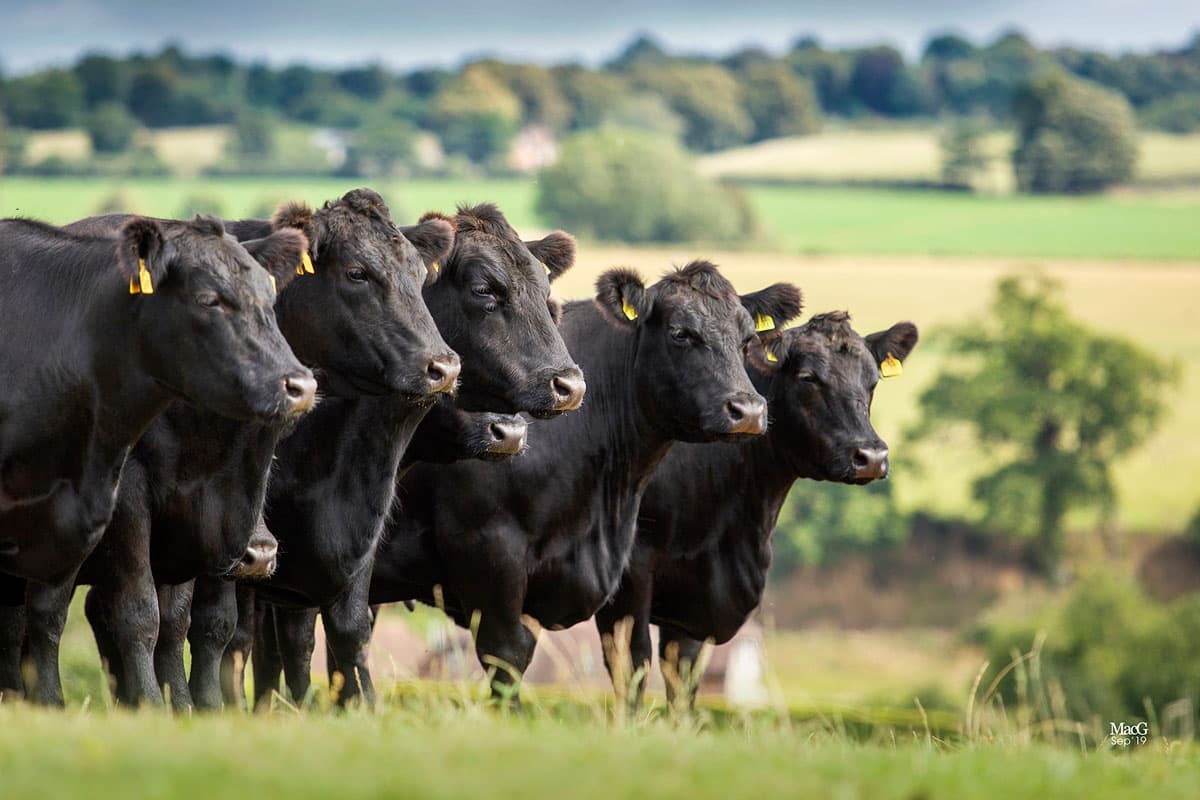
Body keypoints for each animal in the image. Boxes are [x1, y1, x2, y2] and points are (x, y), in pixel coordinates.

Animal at [35, 189, 458, 709]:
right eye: (357, 272)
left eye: (419, 274)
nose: (443, 366)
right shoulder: (133, 494)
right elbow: (139, 613)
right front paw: (158, 706)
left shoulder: (220, 507)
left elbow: (204, 621)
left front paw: (201, 708)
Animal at [597, 311, 918, 710]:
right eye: (808, 378)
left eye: (872, 381)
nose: (871, 456)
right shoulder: (632, 570)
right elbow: (632, 664)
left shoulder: (695, 592)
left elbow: (683, 676)